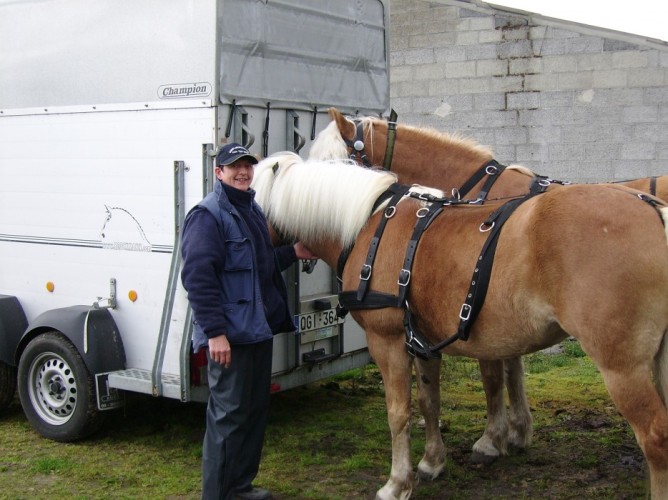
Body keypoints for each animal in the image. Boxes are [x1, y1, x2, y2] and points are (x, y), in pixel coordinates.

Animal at [253, 151, 668, 500]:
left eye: (250, 199)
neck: (367, 225)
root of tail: (653, 211)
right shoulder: (422, 340)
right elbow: (429, 401)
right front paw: (431, 462)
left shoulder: (387, 340)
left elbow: (398, 412)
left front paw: (397, 483)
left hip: (621, 365)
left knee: (655, 435)